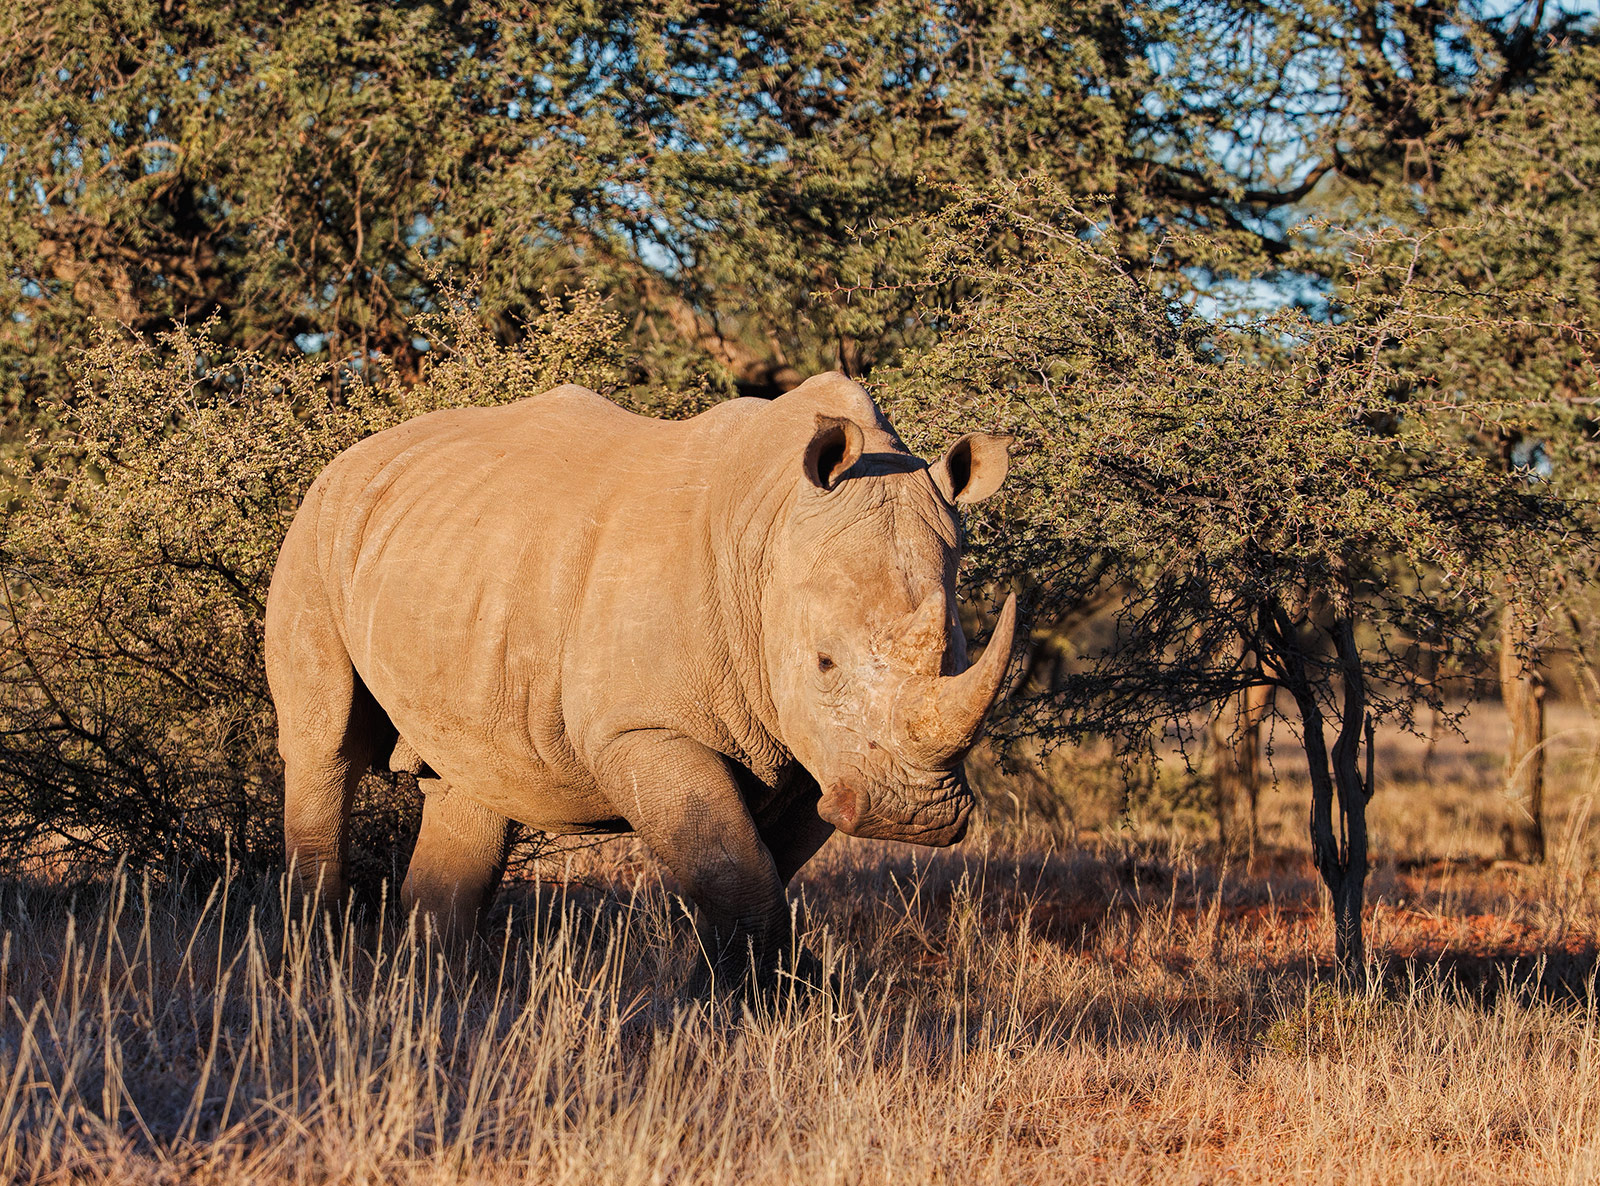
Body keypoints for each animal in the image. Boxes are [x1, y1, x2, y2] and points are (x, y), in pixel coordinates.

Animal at [265, 371, 1016, 984]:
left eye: (958, 652)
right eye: (824, 663)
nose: (912, 815)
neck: (772, 534)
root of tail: (350, 456)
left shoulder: (819, 755)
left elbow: (754, 873)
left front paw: (732, 1004)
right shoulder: (648, 728)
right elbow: (737, 873)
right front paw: (734, 1017)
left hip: (457, 567)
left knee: (470, 781)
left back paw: (435, 994)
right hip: (316, 529)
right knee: (325, 747)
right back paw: (311, 975)